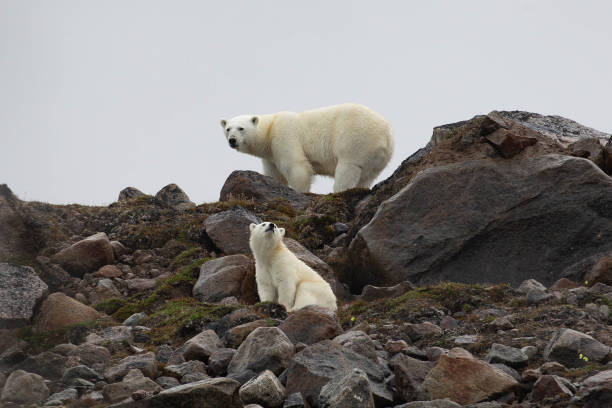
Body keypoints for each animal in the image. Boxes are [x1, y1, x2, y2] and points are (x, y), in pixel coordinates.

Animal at [222, 102, 394, 191]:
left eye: (241, 128)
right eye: (228, 129)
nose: (232, 140)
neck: (270, 128)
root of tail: (385, 132)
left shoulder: (284, 136)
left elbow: (296, 166)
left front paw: (299, 191)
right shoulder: (270, 155)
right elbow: (275, 174)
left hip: (355, 137)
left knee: (348, 168)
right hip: (377, 157)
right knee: (367, 176)